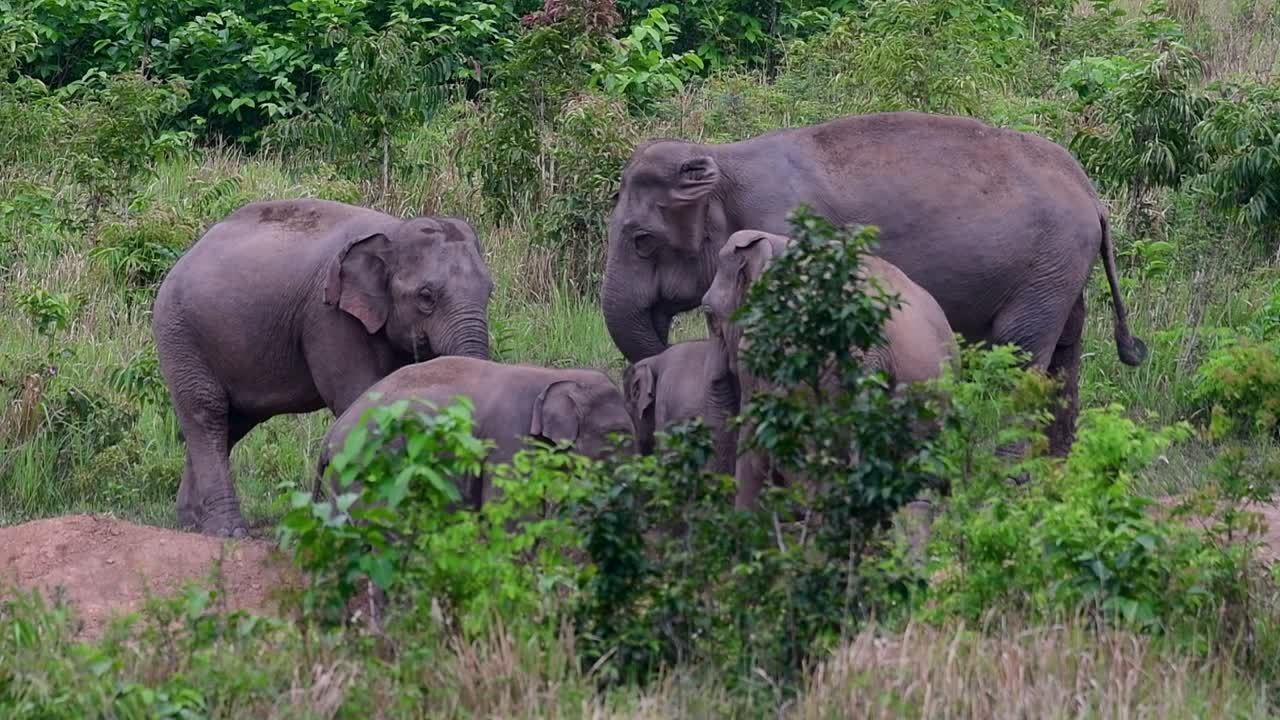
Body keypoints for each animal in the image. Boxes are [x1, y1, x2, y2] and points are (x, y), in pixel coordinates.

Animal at [152, 198, 493, 537]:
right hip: (180, 334)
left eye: (490, 291)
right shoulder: (329, 317)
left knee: (232, 424)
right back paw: (228, 531)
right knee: (207, 412)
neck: (395, 230)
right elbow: (358, 395)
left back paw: (192, 521)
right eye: (426, 296)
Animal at [601, 110, 1147, 458]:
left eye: (642, 241)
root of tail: (1092, 194)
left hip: (1044, 269)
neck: (723, 162)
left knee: (1019, 355)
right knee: (1064, 358)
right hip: (1061, 272)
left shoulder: (786, 233)